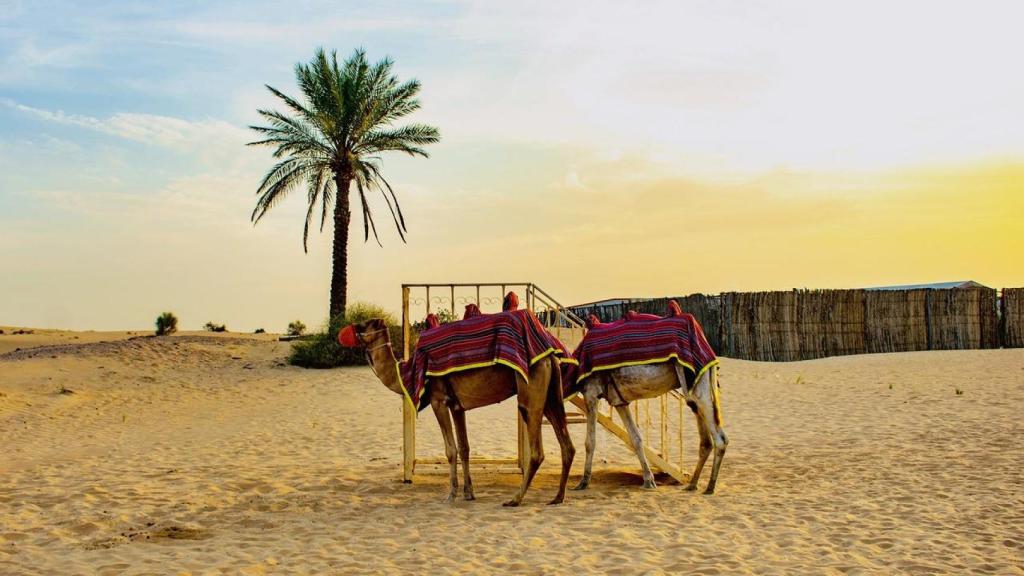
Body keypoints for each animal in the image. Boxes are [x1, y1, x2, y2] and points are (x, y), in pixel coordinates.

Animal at [337, 293, 573, 504]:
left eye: (364, 324)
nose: (343, 332)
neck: (405, 373)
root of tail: (549, 354)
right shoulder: (457, 406)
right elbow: (465, 447)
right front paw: (469, 493)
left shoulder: (438, 400)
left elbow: (451, 450)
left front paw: (451, 494)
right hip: (551, 393)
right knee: (567, 445)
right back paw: (558, 497)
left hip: (531, 389)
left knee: (536, 448)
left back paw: (516, 498)